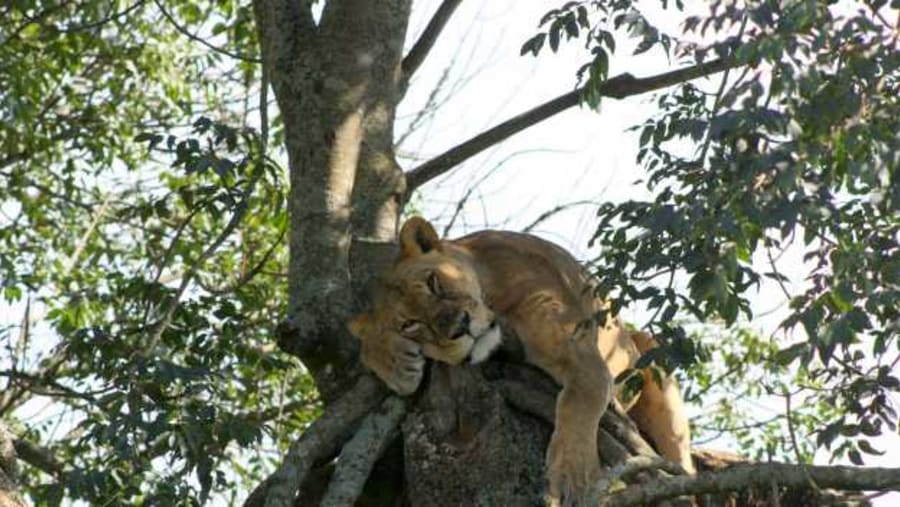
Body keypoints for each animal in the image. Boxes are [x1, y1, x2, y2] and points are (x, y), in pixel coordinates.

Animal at [348, 217, 694, 504]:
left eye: (435, 283)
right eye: (411, 324)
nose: (460, 326)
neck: (490, 287)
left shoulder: (578, 350)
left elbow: (577, 402)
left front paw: (572, 474)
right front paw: (393, 360)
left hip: (654, 362)